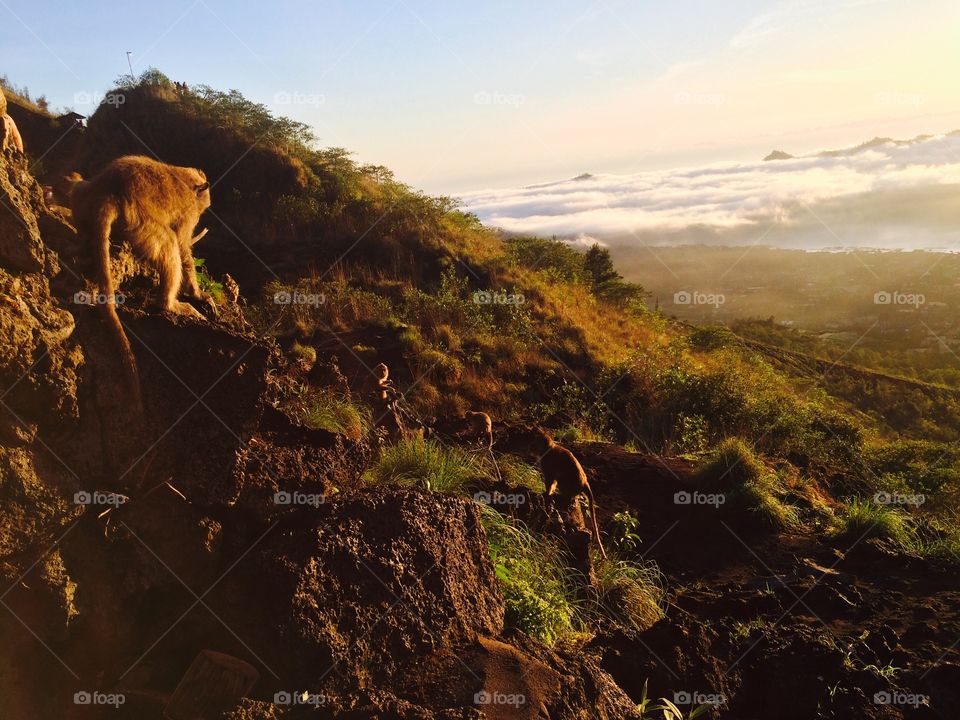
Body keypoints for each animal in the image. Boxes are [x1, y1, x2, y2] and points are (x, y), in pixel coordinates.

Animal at [54, 155, 212, 410]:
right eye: (202, 208)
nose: (202, 212)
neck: (186, 179)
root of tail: (109, 194)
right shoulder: (188, 213)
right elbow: (182, 244)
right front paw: (197, 293)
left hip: (82, 200)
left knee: (80, 209)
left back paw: (74, 251)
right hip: (140, 223)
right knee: (169, 243)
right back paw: (169, 304)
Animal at [532, 426, 607, 559]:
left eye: (533, 442)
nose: (530, 448)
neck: (548, 447)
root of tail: (584, 482)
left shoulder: (548, 465)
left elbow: (550, 481)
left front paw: (547, 493)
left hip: (569, 483)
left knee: (564, 486)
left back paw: (563, 496)